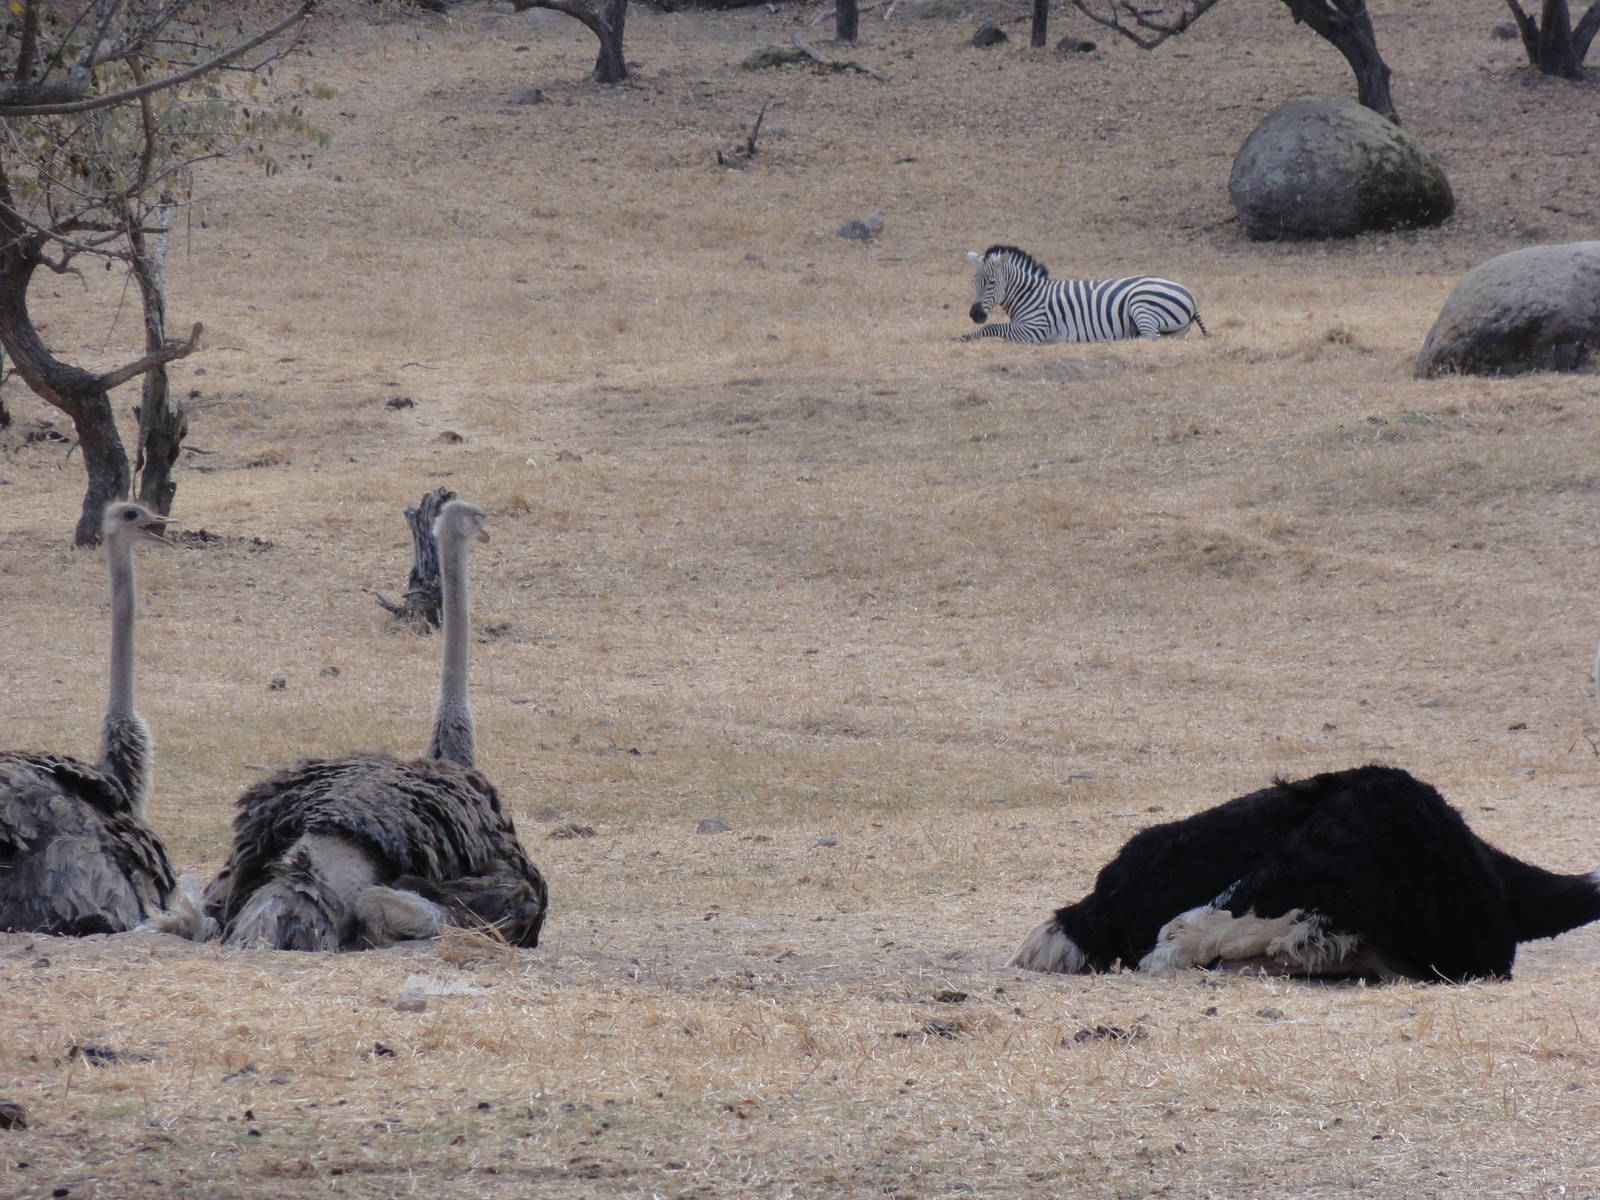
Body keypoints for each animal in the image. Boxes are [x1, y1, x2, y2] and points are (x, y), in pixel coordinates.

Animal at [961, 245, 1208, 344]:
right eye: (974, 282)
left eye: (991, 282)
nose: (974, 315)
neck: (1029, 295)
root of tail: (1190, 296)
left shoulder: (1036, 329)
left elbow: (994, 327)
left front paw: (965, 337)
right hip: (1173, 329)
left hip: (1141, 303)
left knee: (1150, 337)